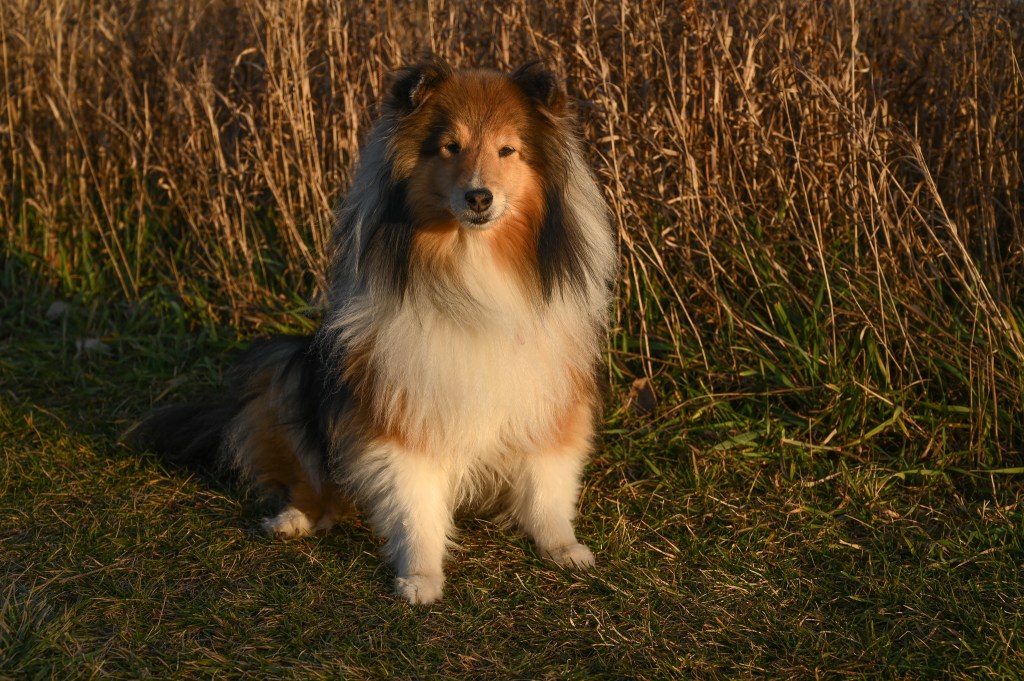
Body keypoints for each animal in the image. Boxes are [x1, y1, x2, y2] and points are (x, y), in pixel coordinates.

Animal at [137, 57, 617, 605]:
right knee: (310, 479)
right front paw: (421, 577)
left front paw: (562, 547)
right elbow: (415, 505)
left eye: (507, 150)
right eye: (450, 146)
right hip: (290, 368)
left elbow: (547, 486)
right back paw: (292, 519)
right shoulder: (402, 409)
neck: (473, 265)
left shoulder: (545, 395)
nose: (479, 197)